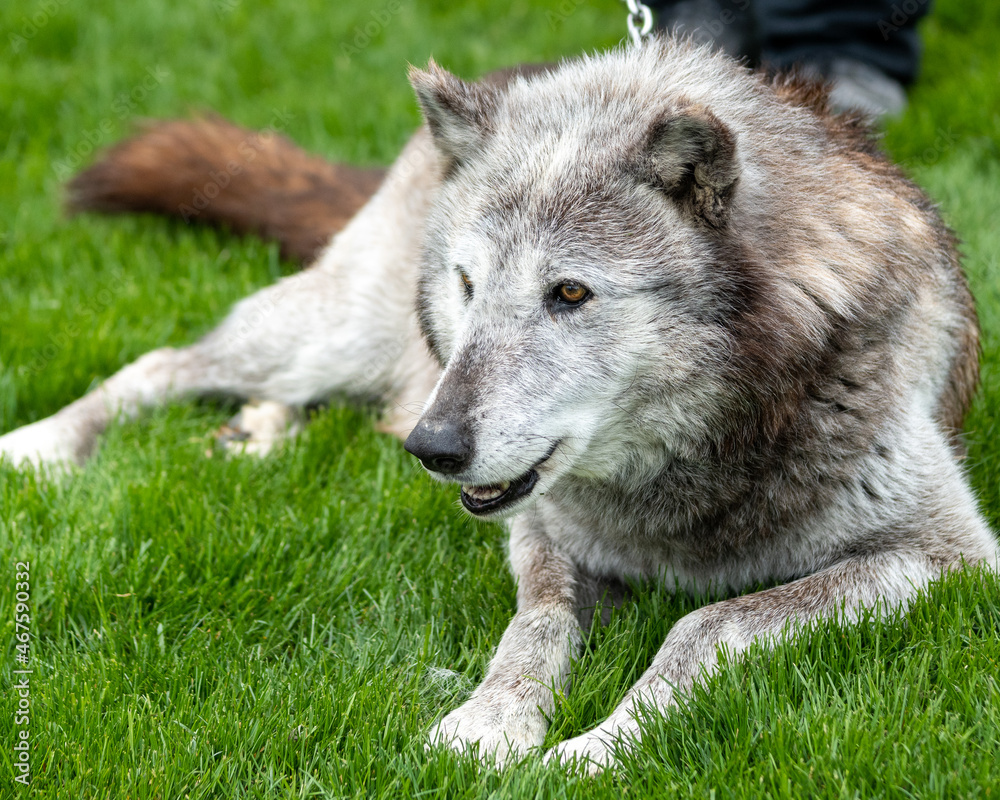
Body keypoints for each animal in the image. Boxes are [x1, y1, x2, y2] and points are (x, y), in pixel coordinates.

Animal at [1, 36, 1000, 768]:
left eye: (569, 293)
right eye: (469, 282)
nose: (434, 450)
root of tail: (513, 74)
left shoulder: (951, 557)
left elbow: (705, 623)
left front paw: (596, 746)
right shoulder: (541, 530)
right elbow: (538, 621)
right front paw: (493, 722)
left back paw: (257, 432)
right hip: (338, 332)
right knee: (170, 361)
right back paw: (45, 443)